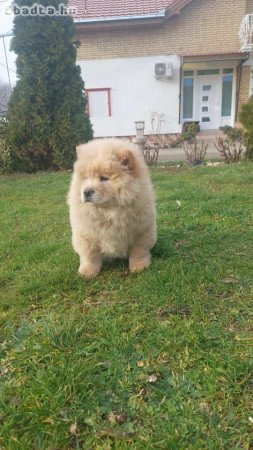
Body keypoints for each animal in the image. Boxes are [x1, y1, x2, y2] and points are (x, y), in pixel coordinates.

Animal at [68, 137, 157, 278]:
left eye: (104, 178)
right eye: (85, 178)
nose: (86, 192)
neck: (109, 212)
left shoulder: (141, 232)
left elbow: (139, 252)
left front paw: (139, 267)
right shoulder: (86, 236)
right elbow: (90, 256)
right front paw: (87, 273)